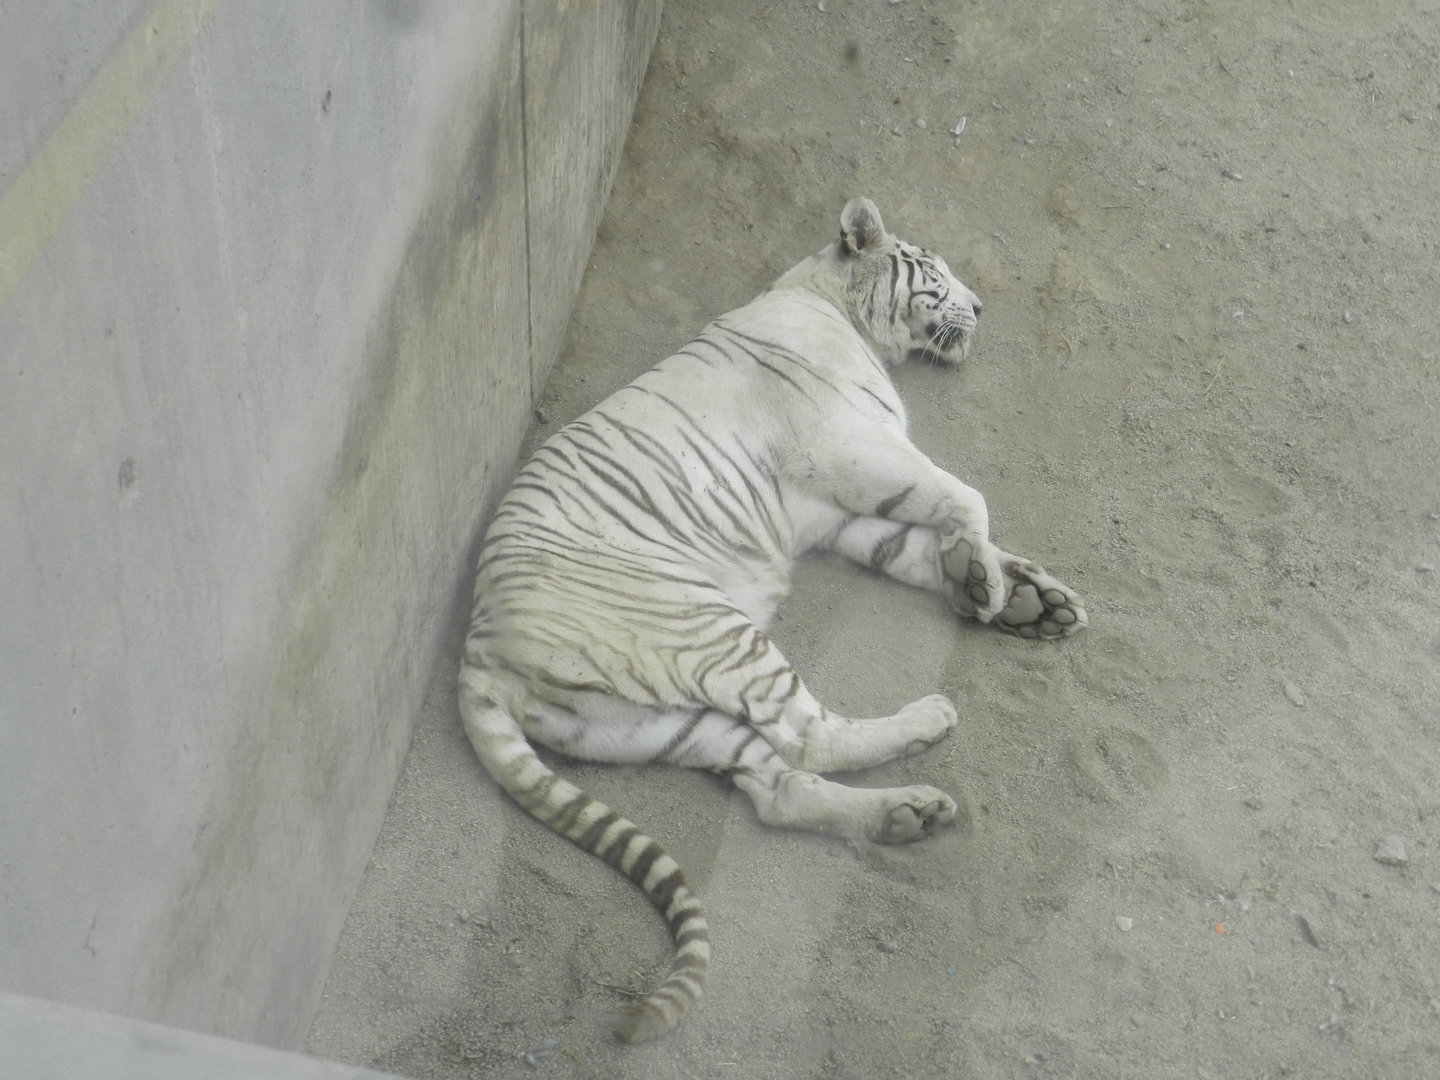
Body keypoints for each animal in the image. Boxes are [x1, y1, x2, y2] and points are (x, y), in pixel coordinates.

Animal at [458, 197, 1087, 1042]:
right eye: (933, 268)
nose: (984, 307)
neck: (828, 300)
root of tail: (477, 645)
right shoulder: (849, 446)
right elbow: (962, 497)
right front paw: (987, 584)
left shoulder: (834, 509)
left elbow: (918, 544)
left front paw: (1027, 599)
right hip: (707, 630)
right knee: (809, 735)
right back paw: (927, 724)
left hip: (656, 722)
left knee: (777, 785)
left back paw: (905, 814)